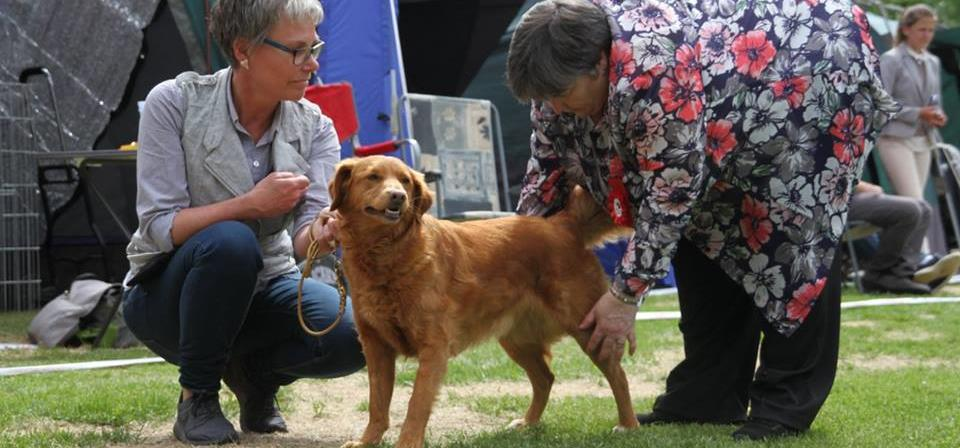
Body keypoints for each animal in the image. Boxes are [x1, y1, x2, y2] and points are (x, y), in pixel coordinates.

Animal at [330, 155, 636, 448]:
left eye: (405, 181)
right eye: (373, 177)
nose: (398, 196)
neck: (386, 255)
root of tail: (563, 224)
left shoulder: (434, 347)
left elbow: (416, 403)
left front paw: (407, 443)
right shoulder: (376, 347)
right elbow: (377, 403)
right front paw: (367, 440)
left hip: (588, 326)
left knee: (617, 375)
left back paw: (628, 425)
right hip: (516, 339)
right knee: (545, 378)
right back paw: (528, 423)